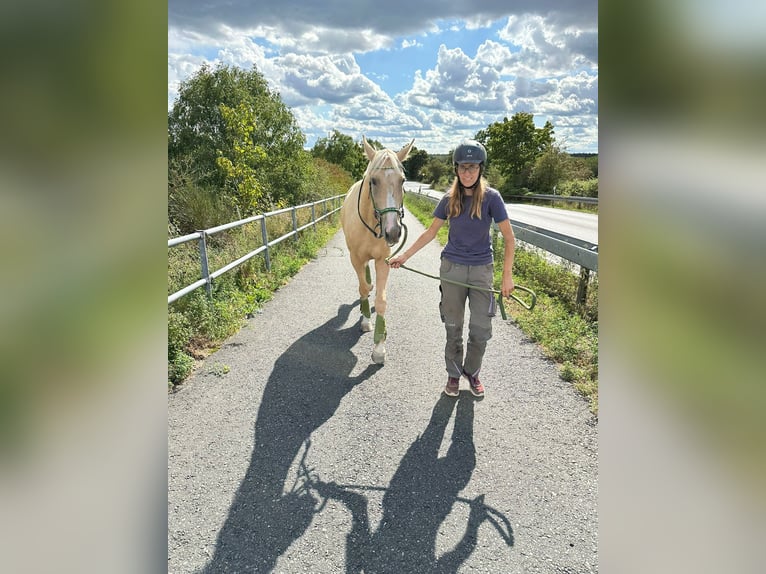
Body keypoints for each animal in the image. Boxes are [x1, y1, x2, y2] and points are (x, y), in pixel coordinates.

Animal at [341, 136, 415, 364]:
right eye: (373, 181)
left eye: (402, 180)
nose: (393, 232)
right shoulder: (355, 258)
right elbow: (363, 288)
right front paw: (366, 321)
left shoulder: (383, 261)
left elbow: (381, 301)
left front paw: (379, 347)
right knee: (363, 280)